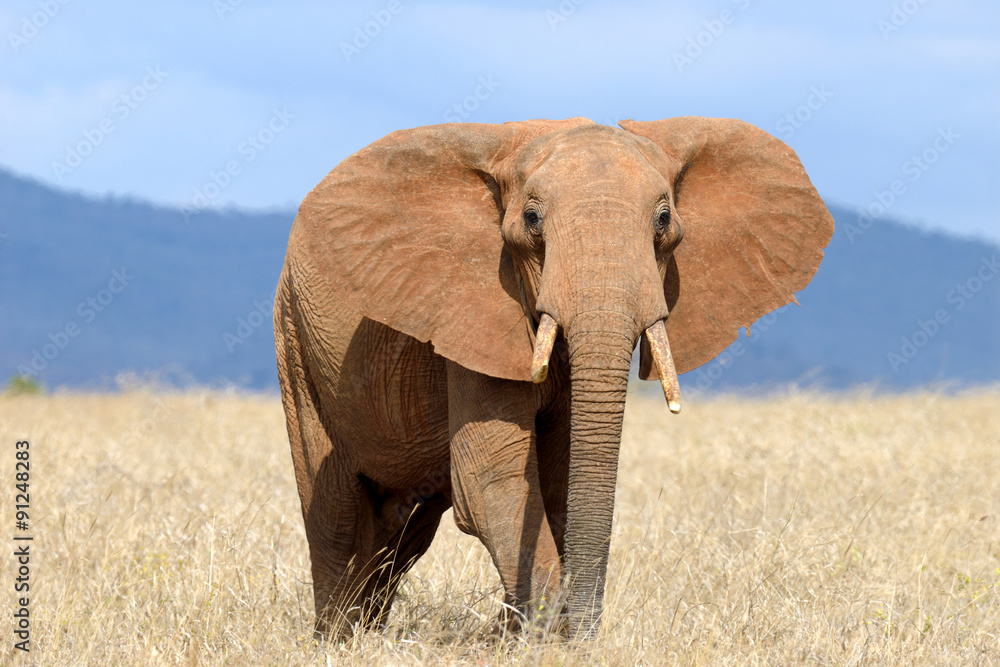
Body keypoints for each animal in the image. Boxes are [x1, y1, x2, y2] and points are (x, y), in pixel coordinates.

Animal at [273, 116, 834, 639]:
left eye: (664, 219)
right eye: (532, 219)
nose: (587, 633)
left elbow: (560, 479)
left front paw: (526, 637)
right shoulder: (473, 313)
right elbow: (492, 478)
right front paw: (548, 642)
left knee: (403, 528)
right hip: (295, 337)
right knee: (335, 513)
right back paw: (336, 640)